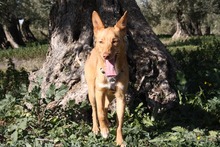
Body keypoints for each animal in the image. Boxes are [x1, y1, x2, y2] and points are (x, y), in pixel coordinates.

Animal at [84, 10, 129, 146]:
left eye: (115, 41)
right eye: (101, 42)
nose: (106, 55)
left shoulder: (121, 96)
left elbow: (120, 122)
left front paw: (119, 140)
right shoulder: (99, 91)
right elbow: (99, 113)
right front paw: (104, 130)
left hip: (109, 96)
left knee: (104, 107)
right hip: (92, 93)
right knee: (95, 109)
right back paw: (96, 128)